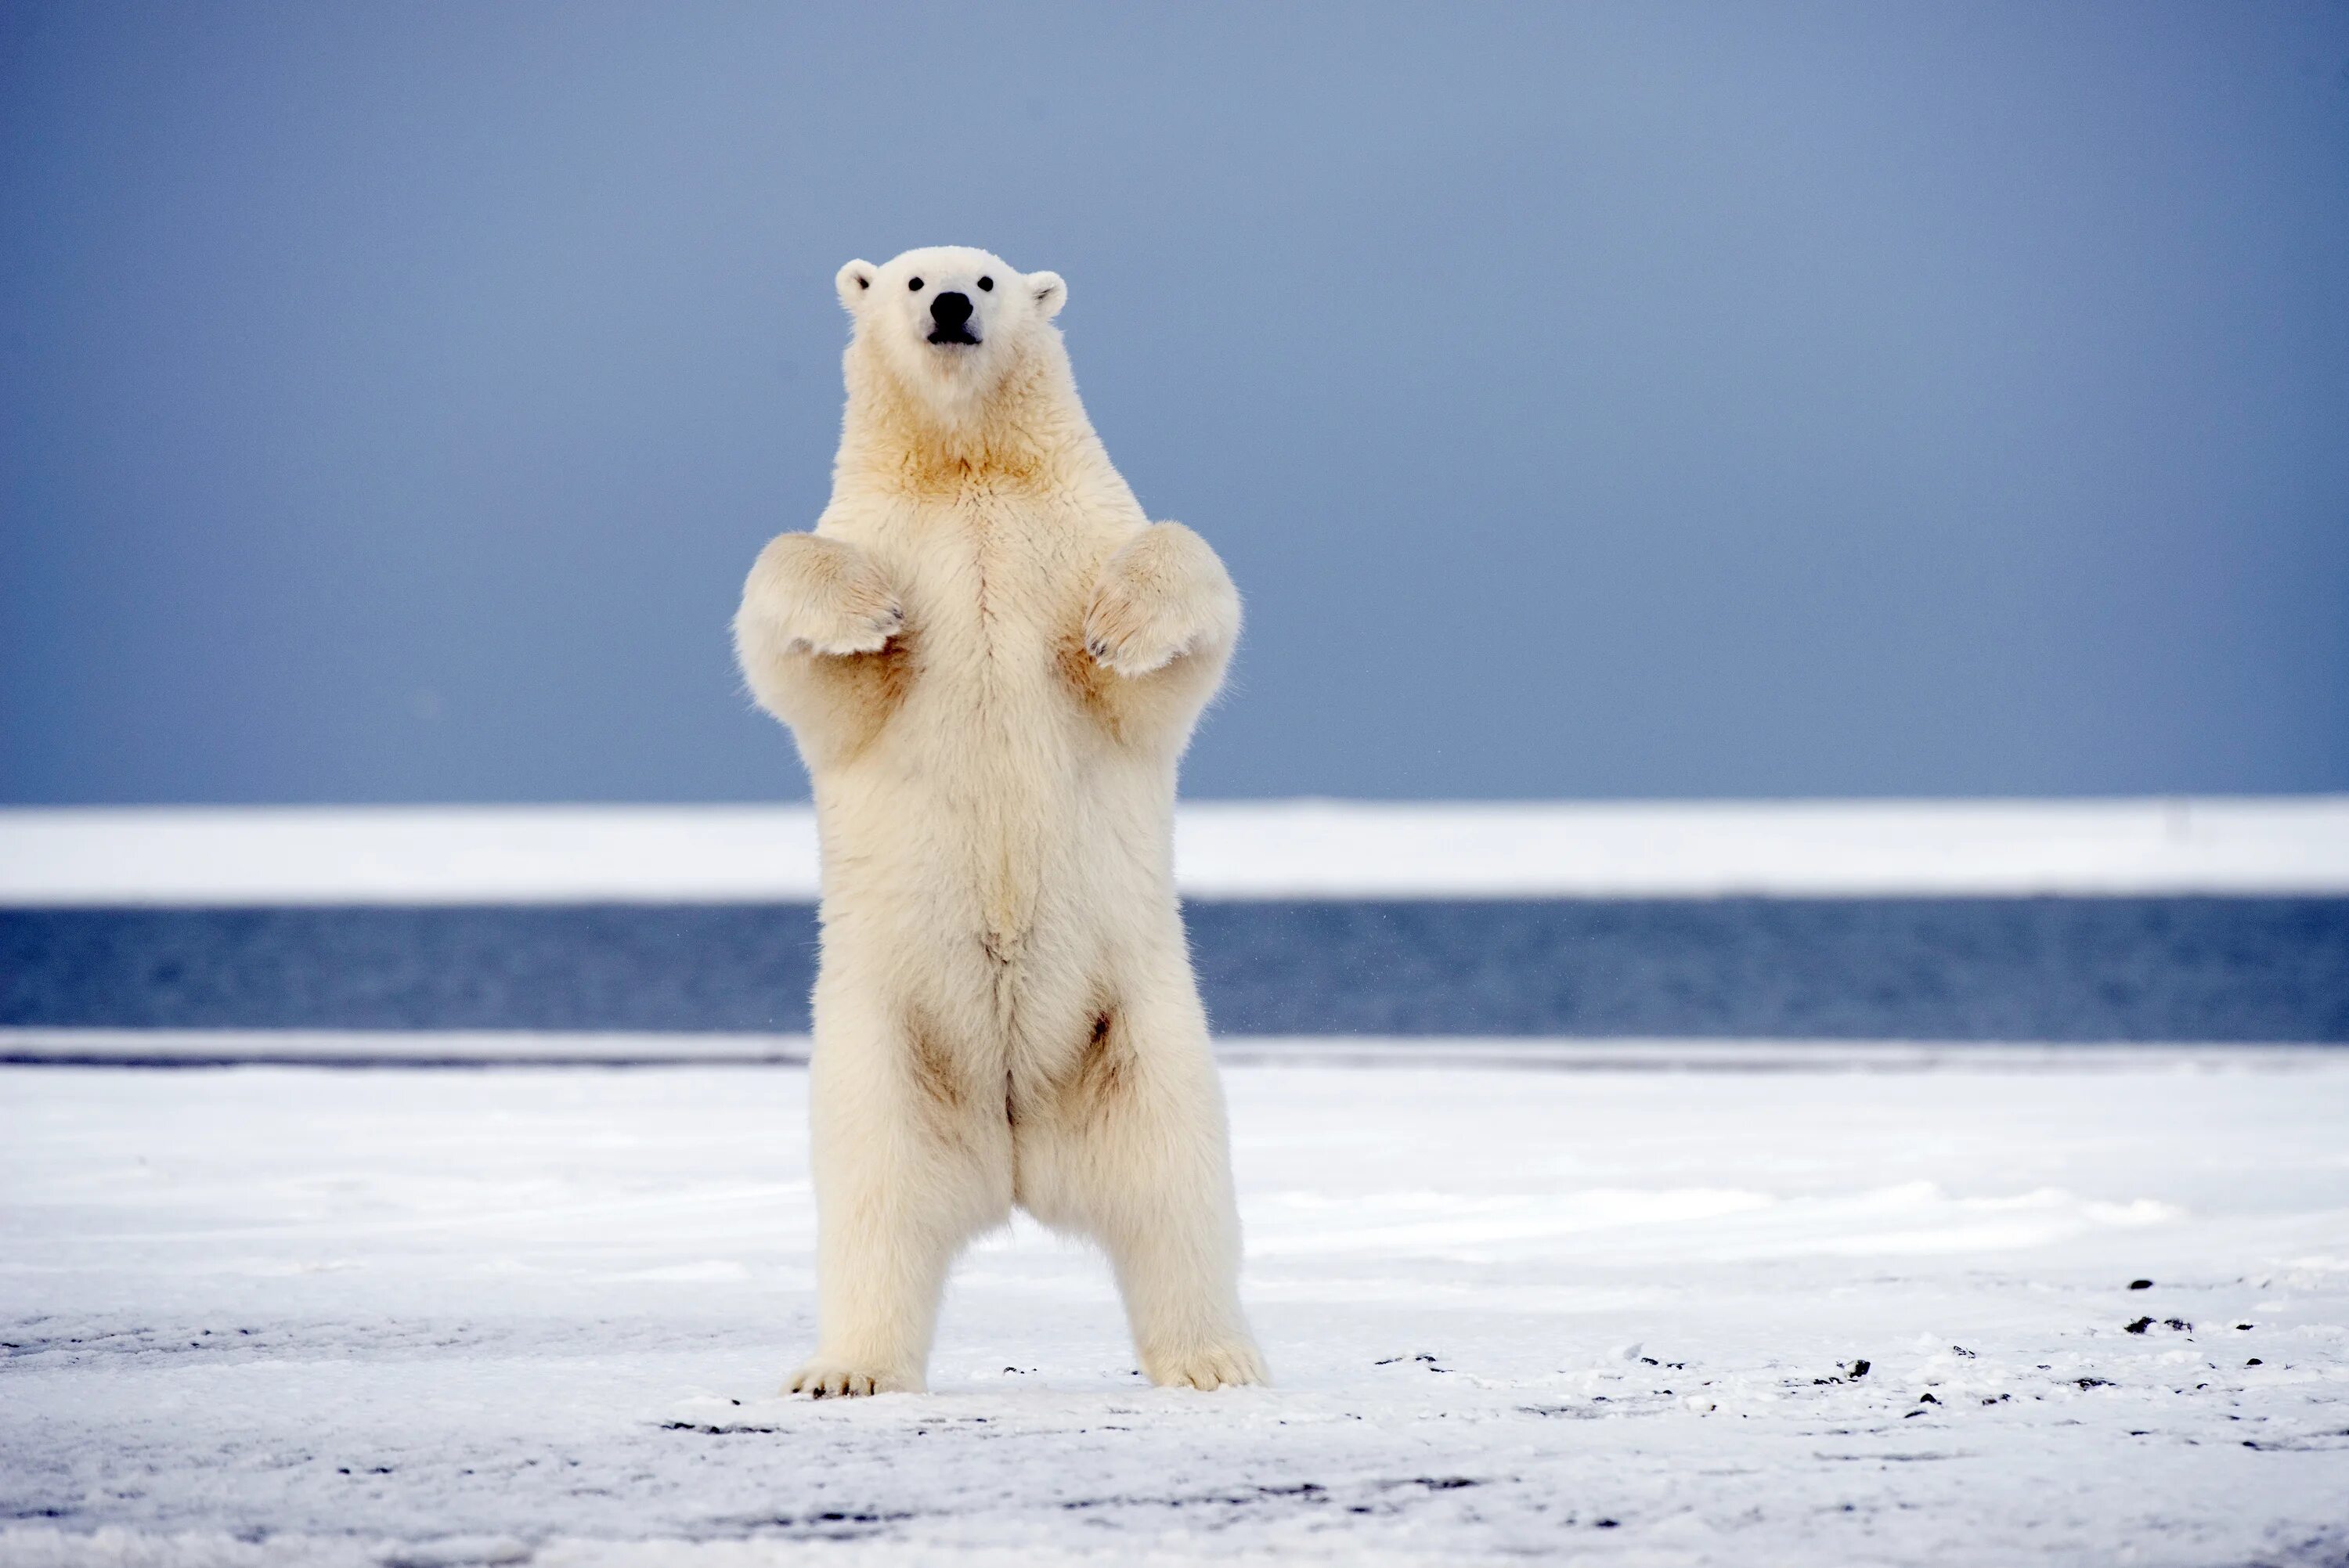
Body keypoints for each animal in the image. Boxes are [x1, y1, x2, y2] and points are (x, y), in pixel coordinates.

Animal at [742, 239, 1278, 1390]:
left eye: (986, 280)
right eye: (909, 279)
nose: (948, 305)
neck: (970, 469)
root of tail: (1019, 1148)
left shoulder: (1075, 528)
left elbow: (1168, 619)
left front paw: (1120, 622)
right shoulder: (884, 532)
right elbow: (803, 639)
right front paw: (866, 609)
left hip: (1140, 1027)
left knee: (1177, 1189)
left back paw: (1213, 1356)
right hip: (881, 1040)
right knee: (876, 1199)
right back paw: (846, 1367)